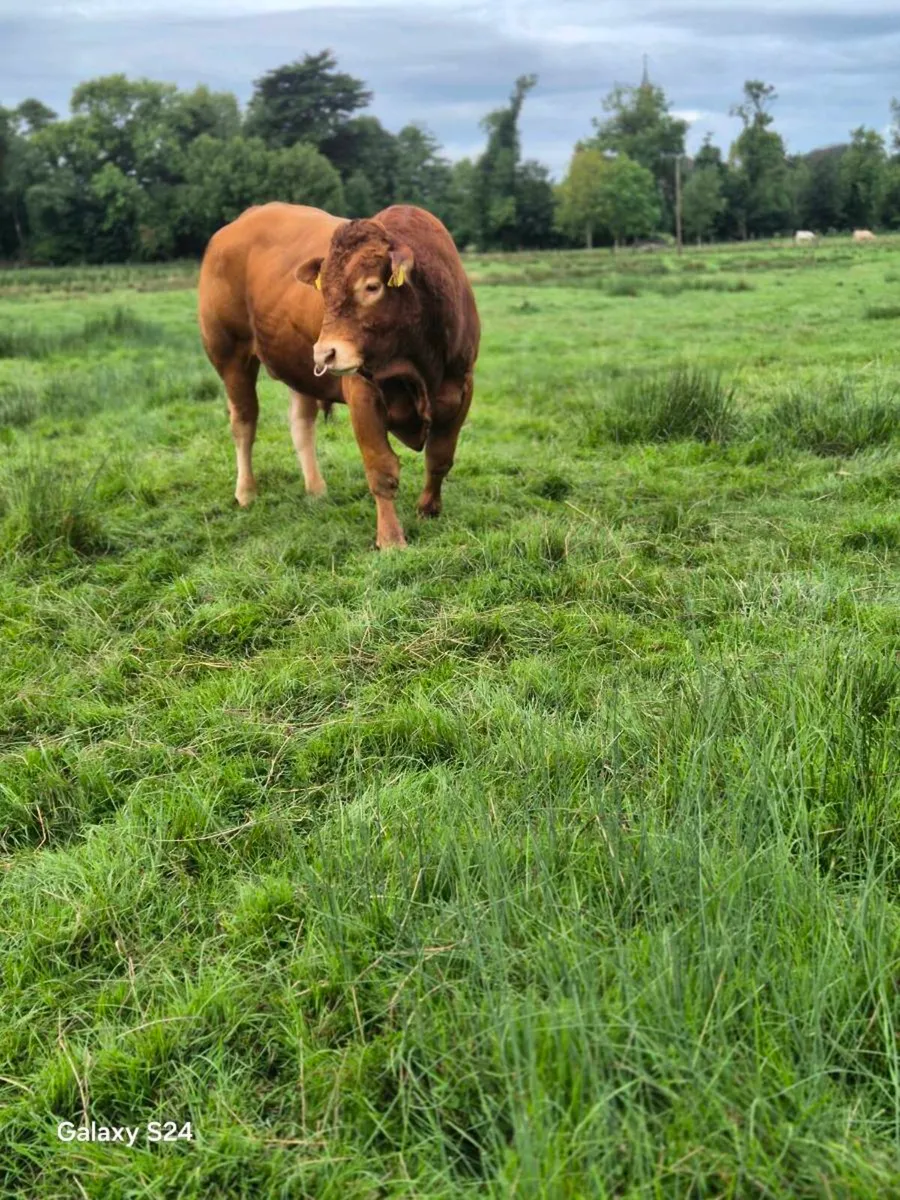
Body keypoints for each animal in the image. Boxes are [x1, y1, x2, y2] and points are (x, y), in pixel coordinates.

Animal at [198, 202, 480, 549]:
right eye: (325, 292)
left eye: (372, 286)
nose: (324, 353)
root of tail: (241, 221)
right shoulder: (362, 393)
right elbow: (381, 468)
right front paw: (390, 538)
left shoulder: (461, 388)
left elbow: (440, 457)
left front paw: (429, 508)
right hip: (231, 356)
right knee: (244, 422)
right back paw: (246, 492)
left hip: (296, 365)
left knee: (301, 424)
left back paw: (316, 489)